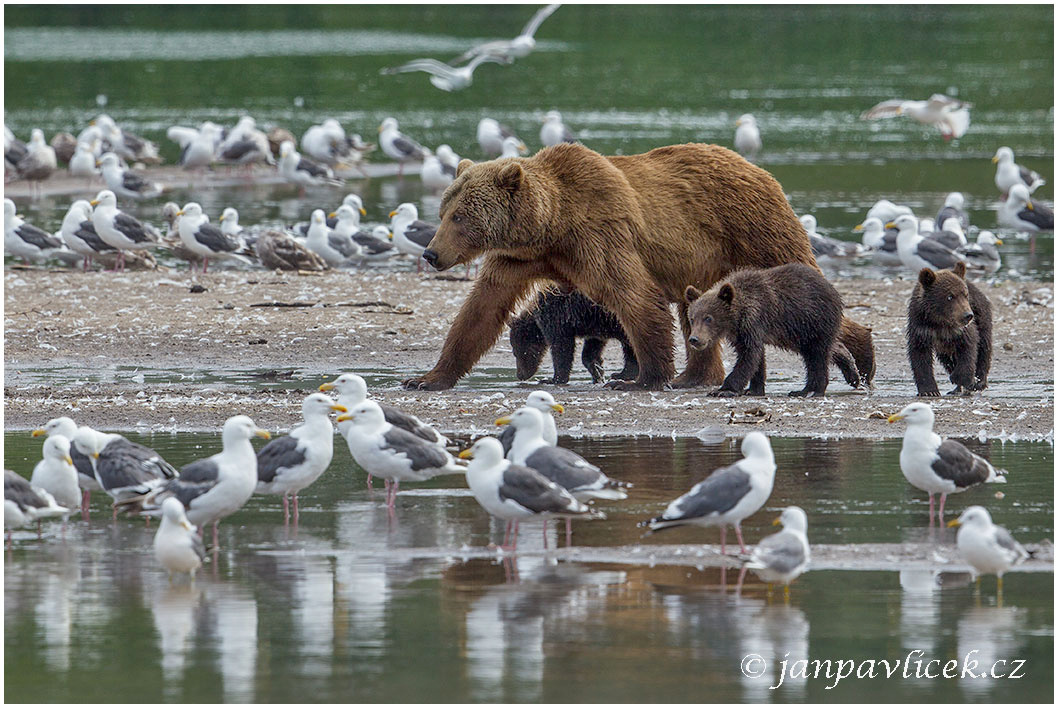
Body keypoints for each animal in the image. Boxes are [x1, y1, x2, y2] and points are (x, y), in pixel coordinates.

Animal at [399, 140, 871, 391]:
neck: (551, 226)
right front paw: (427, 377)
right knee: (695, 311)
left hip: (753, 230)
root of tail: (759, 170)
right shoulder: (520, 258)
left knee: (796, 274)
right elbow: (480, 311)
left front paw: (641, 377)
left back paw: (860, 354)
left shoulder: (599, 232)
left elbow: (634, 297)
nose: (431, 253)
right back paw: (694, 376)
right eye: (445, 210)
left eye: (460, 216)